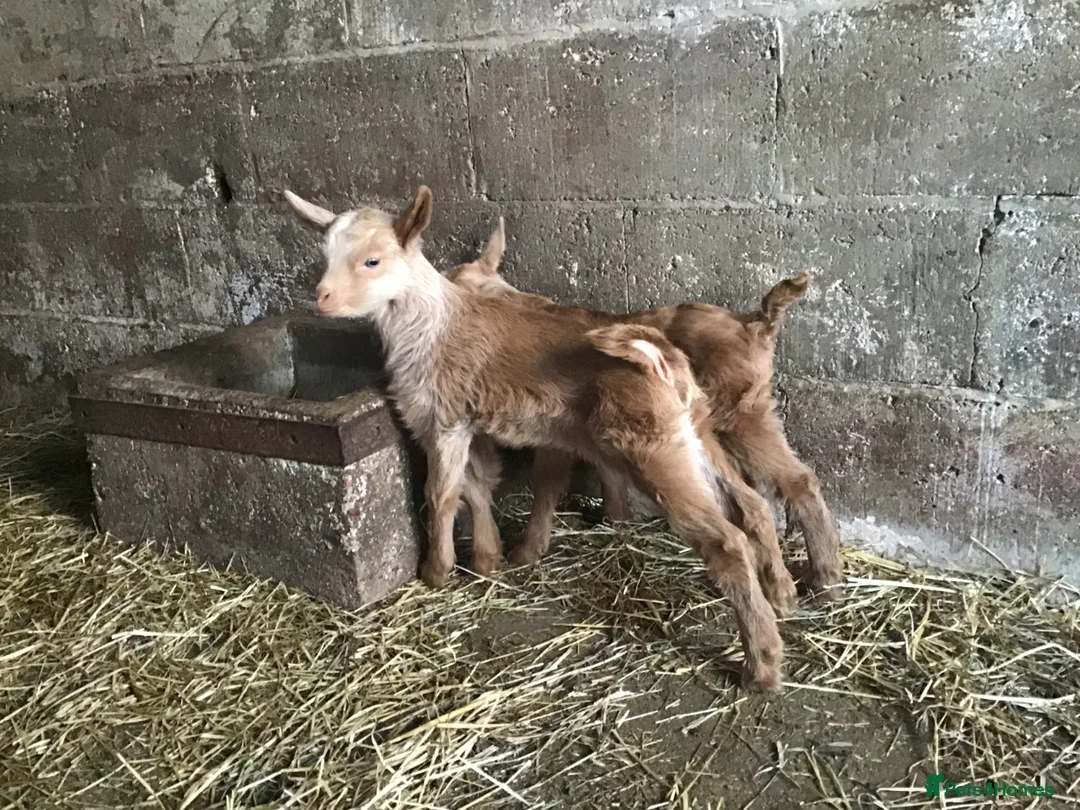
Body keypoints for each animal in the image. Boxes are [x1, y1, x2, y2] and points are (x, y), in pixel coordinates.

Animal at [285, 185, 790, 692]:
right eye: (325, 254)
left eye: (372, 260)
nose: (322, 298)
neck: (429, 325)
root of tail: (659, 355)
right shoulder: (474, 422)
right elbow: (477, 485)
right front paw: (488, 559)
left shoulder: (444, 419)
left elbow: (440, 494)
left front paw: (436, 571)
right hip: (694, 431)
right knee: (751, 502)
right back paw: (782, 595)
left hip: (654, 446)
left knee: (726, 541)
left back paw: (763, 665)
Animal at [447, 217, 843, 597]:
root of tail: (755, 323)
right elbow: (605, 470)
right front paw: (617, 516)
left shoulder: (556, 432)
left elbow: (546, 482)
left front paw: (526, 552)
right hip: (755, 412)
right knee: (794, 481)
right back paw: (822, 581)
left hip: (739, 415)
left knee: (791, 482)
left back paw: (813, 582)